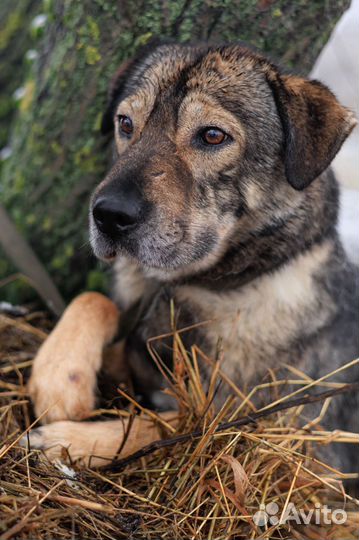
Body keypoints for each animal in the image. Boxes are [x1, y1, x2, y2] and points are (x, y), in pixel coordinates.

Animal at [23, 42, 358, 472]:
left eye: (213, 135)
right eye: (125, 123)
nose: (108, 215)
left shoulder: (296, 444)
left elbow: (172, 424)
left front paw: (67, 440)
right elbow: (94, 299)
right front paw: (61, 378)